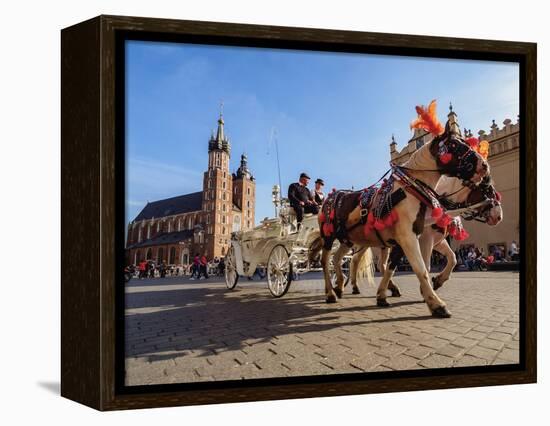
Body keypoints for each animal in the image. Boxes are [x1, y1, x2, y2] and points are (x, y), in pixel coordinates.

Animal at [320, 102, 492, 316]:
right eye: (454, 145)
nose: (484, 165)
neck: (410, 189)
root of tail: (331, 196)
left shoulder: (404, 240)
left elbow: (392, 267)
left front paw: (383, 295)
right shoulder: (409, 237)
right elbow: (421, 268)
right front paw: (436, 303)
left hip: (348, 239)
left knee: (339, 259)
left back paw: (340, 286)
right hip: (329, 237)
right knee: (325, 261)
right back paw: (331, 293)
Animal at [368, 174, 506, 302]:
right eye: (487, 190)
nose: (499, 217)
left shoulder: (438, 241)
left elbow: (453, 258)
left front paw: (439, 281)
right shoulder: (426, 240)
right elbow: (426, 266)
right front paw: (426, 291)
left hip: (385, 244)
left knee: (382, 265)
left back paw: (391, 288)